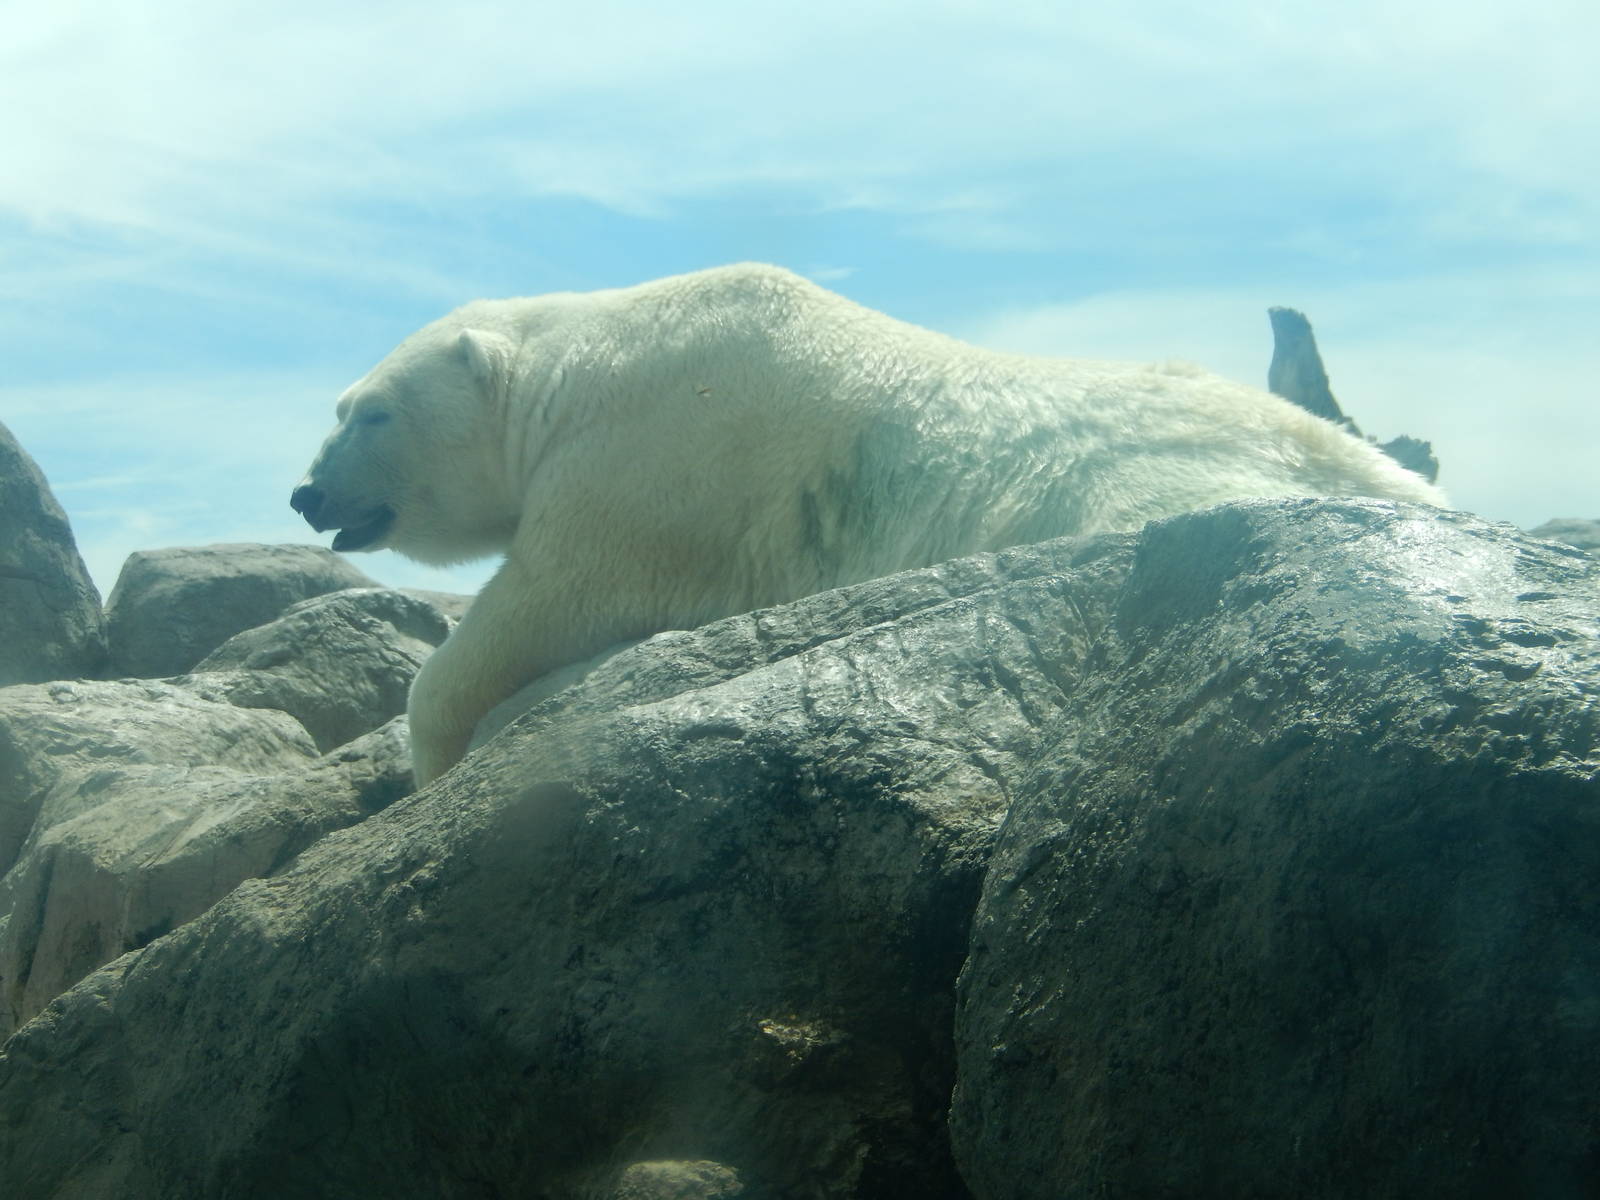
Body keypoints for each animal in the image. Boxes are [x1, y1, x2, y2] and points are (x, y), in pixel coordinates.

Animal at [291, 263, 1445, 785]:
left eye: (369, 412)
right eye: (338, 407)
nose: (307, 494)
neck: (579, 364)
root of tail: (1387, 480)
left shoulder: (651, 462)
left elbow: (549, 595)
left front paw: (431, 752)